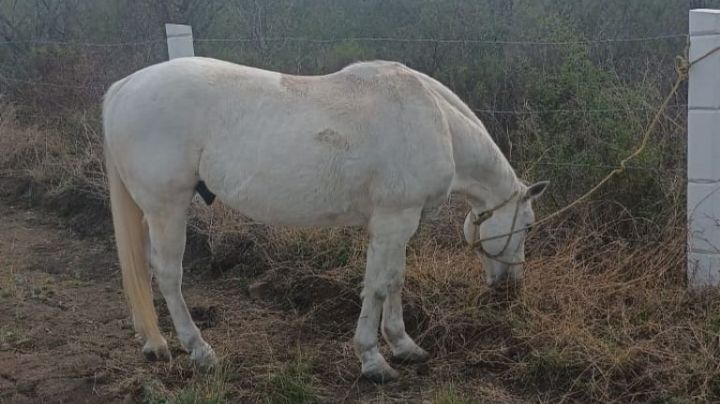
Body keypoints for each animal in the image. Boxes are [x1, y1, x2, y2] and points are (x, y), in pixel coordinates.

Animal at [104, 56, 548, 382]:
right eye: (527, 227)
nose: (510, 286)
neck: (433, 120)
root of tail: (123, 88)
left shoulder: (397, 227)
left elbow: (394, 280)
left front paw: (403, 345)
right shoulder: (394, 221)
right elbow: (379, 286)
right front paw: (373, 360)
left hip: (151, 212)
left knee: (144, 268)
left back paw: (153, 341)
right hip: (167, 208)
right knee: (168, 275)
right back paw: (199, 349)